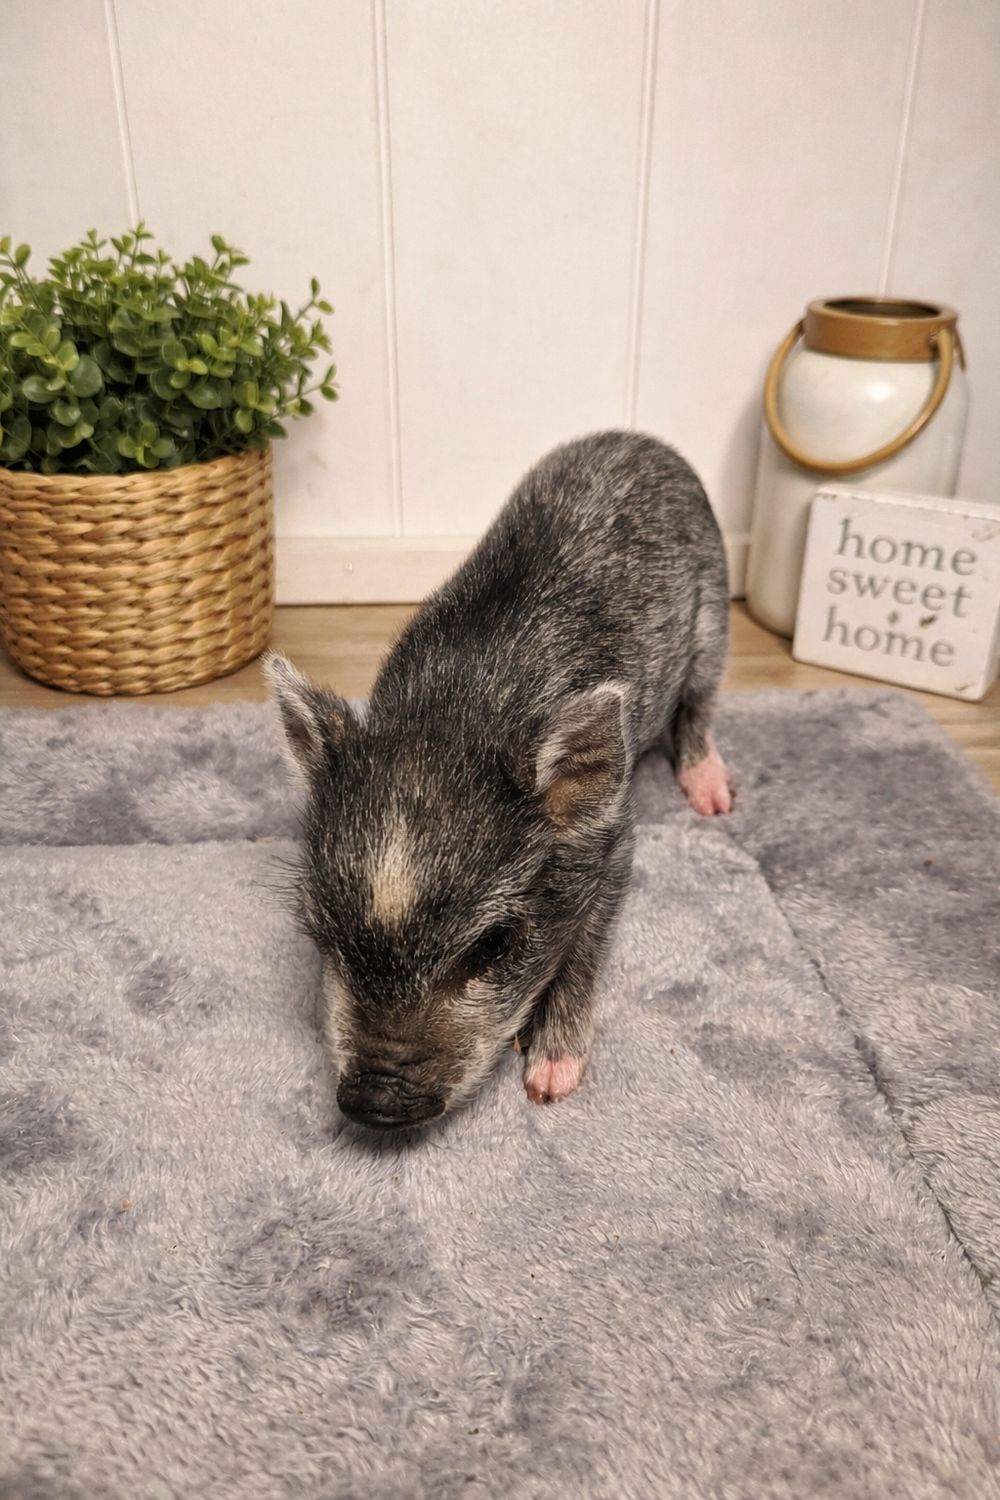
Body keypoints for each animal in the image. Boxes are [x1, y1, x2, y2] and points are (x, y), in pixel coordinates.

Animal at [265, 430, 731, 1129]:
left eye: (491, 946)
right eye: (322, 934)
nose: (373, 1103)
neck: (458, 712)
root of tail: (641, 440)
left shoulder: (615, 837)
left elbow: (587, 942)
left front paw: (550, 1084)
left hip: (715, 613)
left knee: (701, 700)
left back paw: (712, 798)